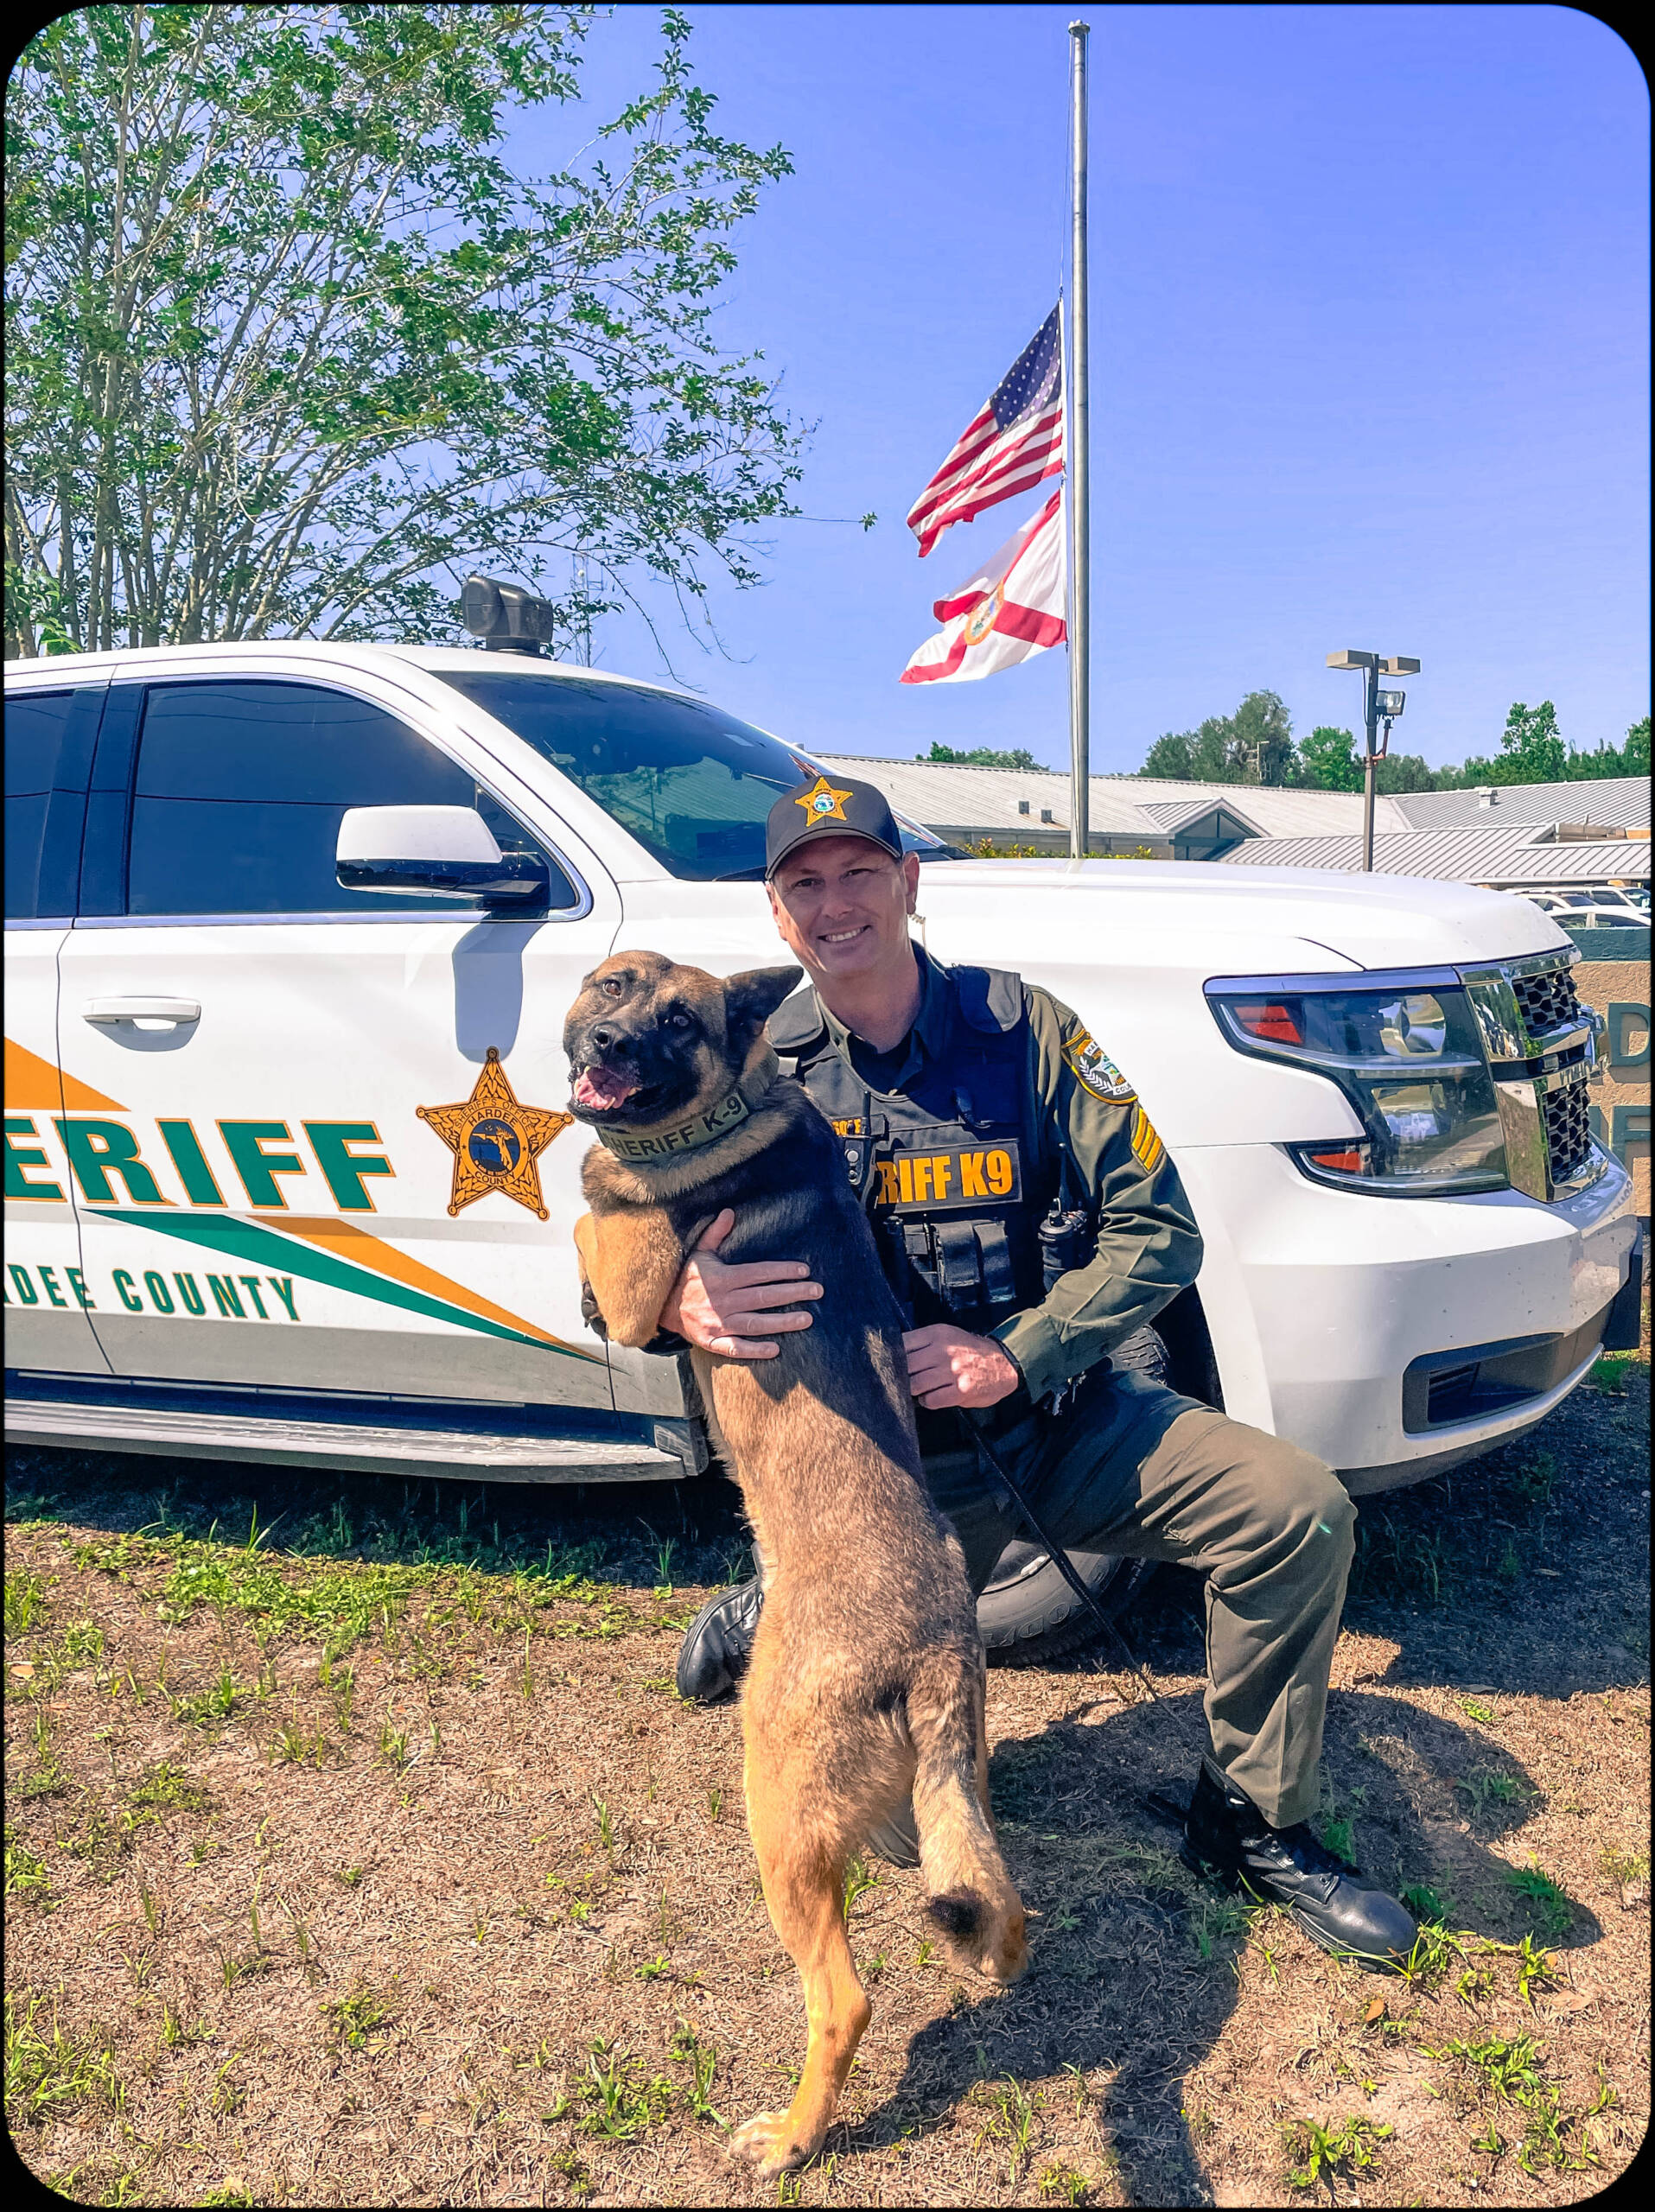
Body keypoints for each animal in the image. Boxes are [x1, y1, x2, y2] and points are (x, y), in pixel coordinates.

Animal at [566, 955, 1022, 2177]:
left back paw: (793, 2134)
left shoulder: (633, 1276)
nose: (611, 1045)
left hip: (772, 1808)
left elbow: (582, 1221)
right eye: (613, 986)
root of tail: (933, 1641)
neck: (728, 1107)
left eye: (679, 1019)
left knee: (843, 1999)